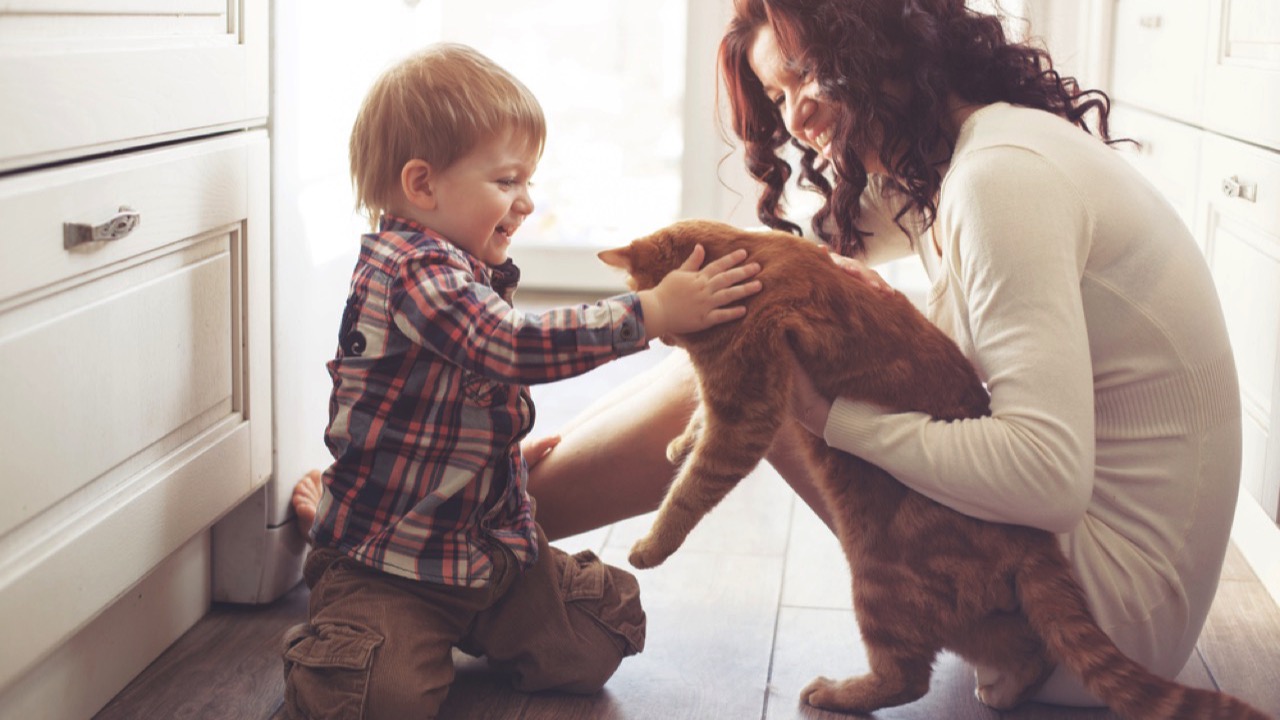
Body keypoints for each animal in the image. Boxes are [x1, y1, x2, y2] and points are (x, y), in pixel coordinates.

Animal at [599, 219, 1269, 717]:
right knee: (1024, 648)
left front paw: (650, 546)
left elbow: (690, 491)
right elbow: (694, 429)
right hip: (968, 609)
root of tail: (1034, 541)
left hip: (877, 576)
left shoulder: (747, 413)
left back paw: (835, 694)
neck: (749, 260)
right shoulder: (731, 404)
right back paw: (1006, 688)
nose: (657, 339)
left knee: (907, 678)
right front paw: (677, 444)